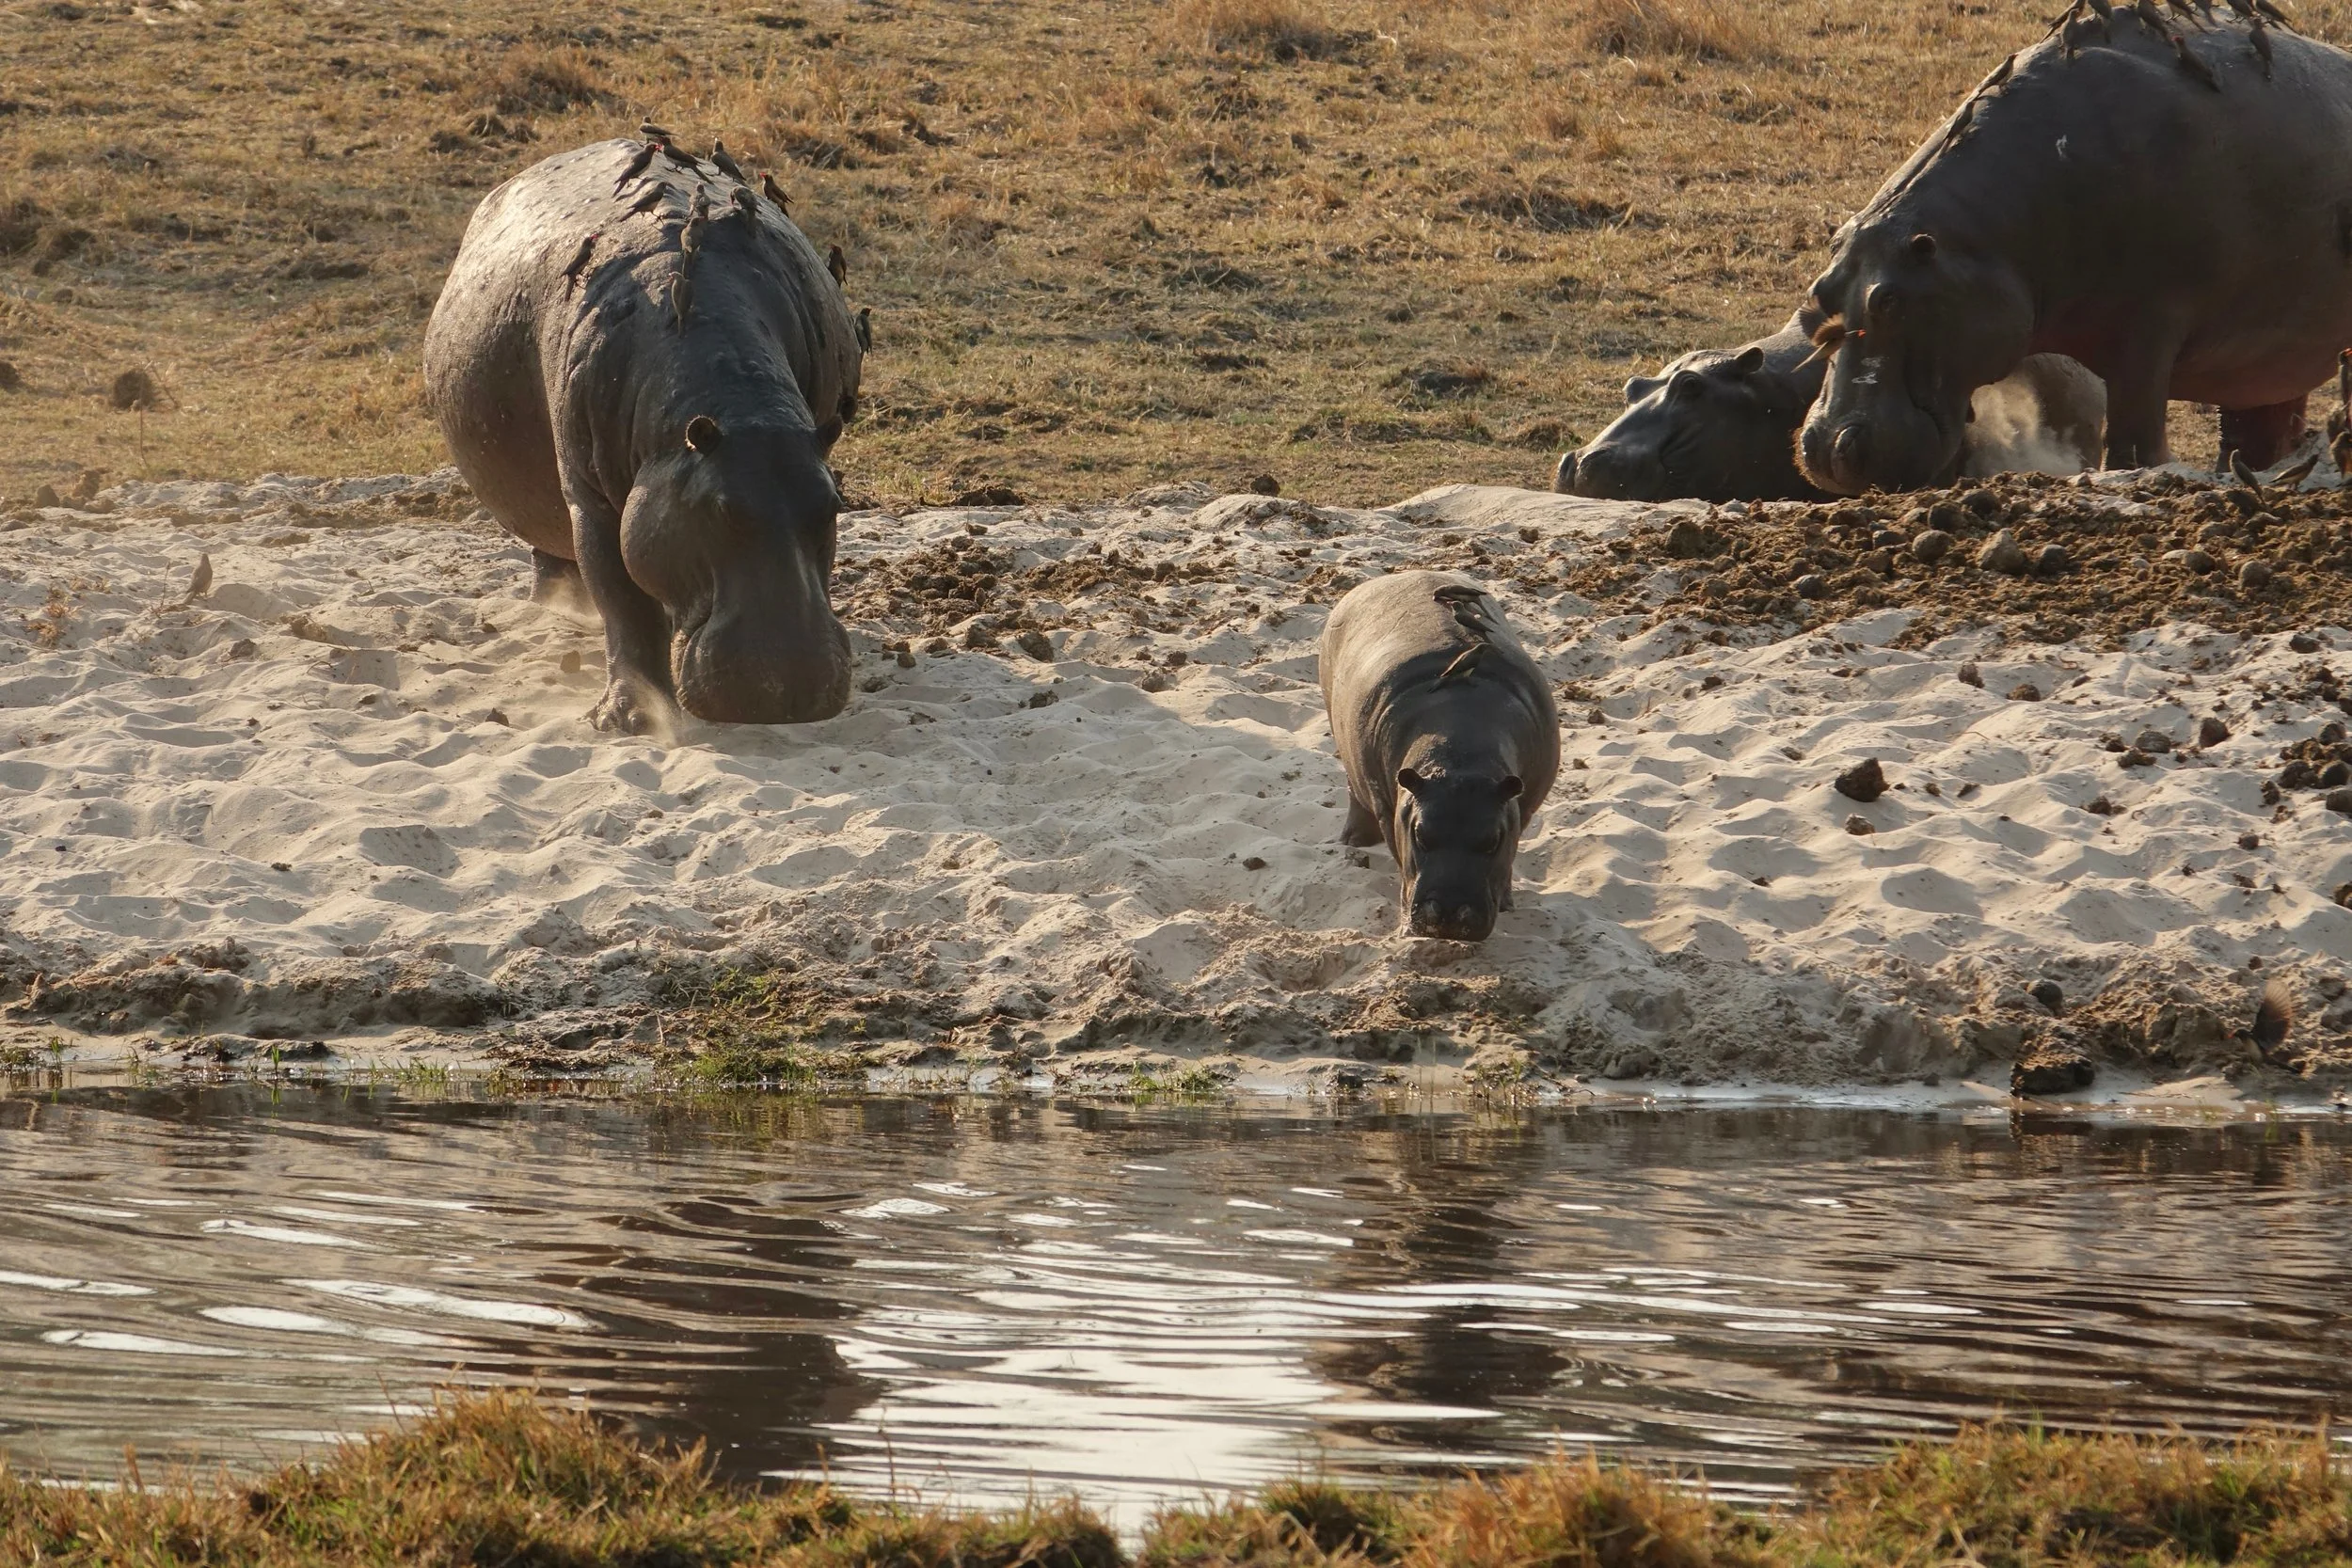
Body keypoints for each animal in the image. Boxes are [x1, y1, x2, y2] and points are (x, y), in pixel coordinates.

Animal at [423, 138, 861, 732]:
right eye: (718, 511)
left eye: (833, 505)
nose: (787, 686)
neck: (740, 404)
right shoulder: (590, 500)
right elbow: (623, 602)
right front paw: (630, 717)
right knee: (555, 557)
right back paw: (555, 607)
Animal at [1319, 571, 1559, 942]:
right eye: (1420, 834)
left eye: (1493, 841)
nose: (1448, 913)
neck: (1460, 755)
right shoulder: (1391, 811)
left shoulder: (1524, 805)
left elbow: (1513, 849)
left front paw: (1507, 903)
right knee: (1353, 792)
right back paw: (1353, 842)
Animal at [1798, 17, 2352, 495]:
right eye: (1819, 297)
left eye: (1890, 301)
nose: (1825, 449)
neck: (1980, 241)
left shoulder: (2148, 328)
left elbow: (2135, 439)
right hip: (2270, 363)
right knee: (2262, 430)